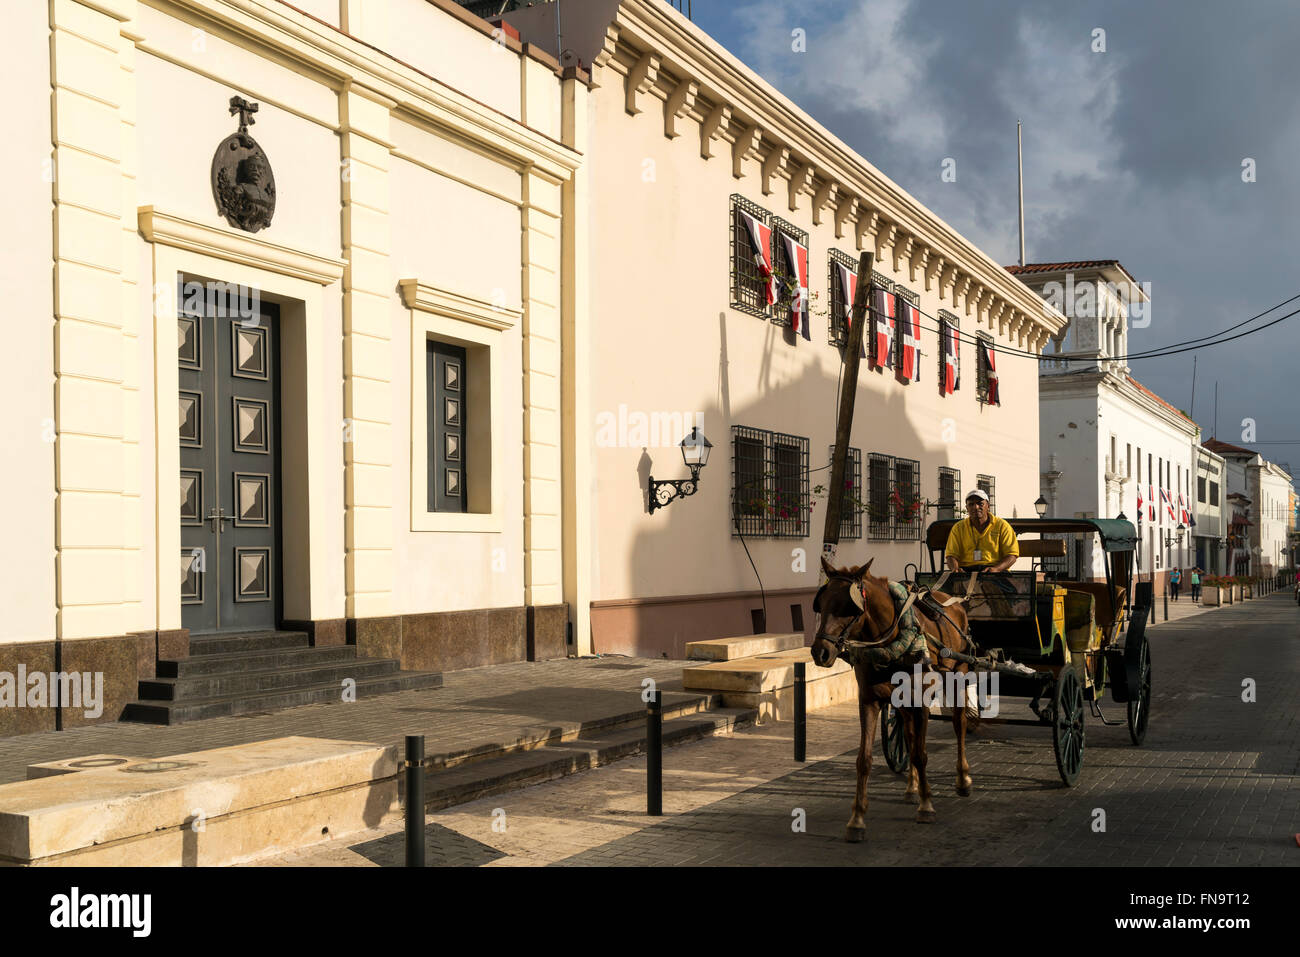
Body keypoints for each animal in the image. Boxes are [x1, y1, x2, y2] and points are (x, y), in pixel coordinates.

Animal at [806, 556, 977, 842]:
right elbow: (864, 760)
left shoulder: (921, 702)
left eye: (850, 607)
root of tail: (952, 601)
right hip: (902, 704)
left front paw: (927, 806)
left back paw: (962, 779)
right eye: (822, 602)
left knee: (959, 724)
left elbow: (921, 753)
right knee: (908, 734)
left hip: (958, 674)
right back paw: (911, 788)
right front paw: (857, 819)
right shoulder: (869, 701)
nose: (821, 652)